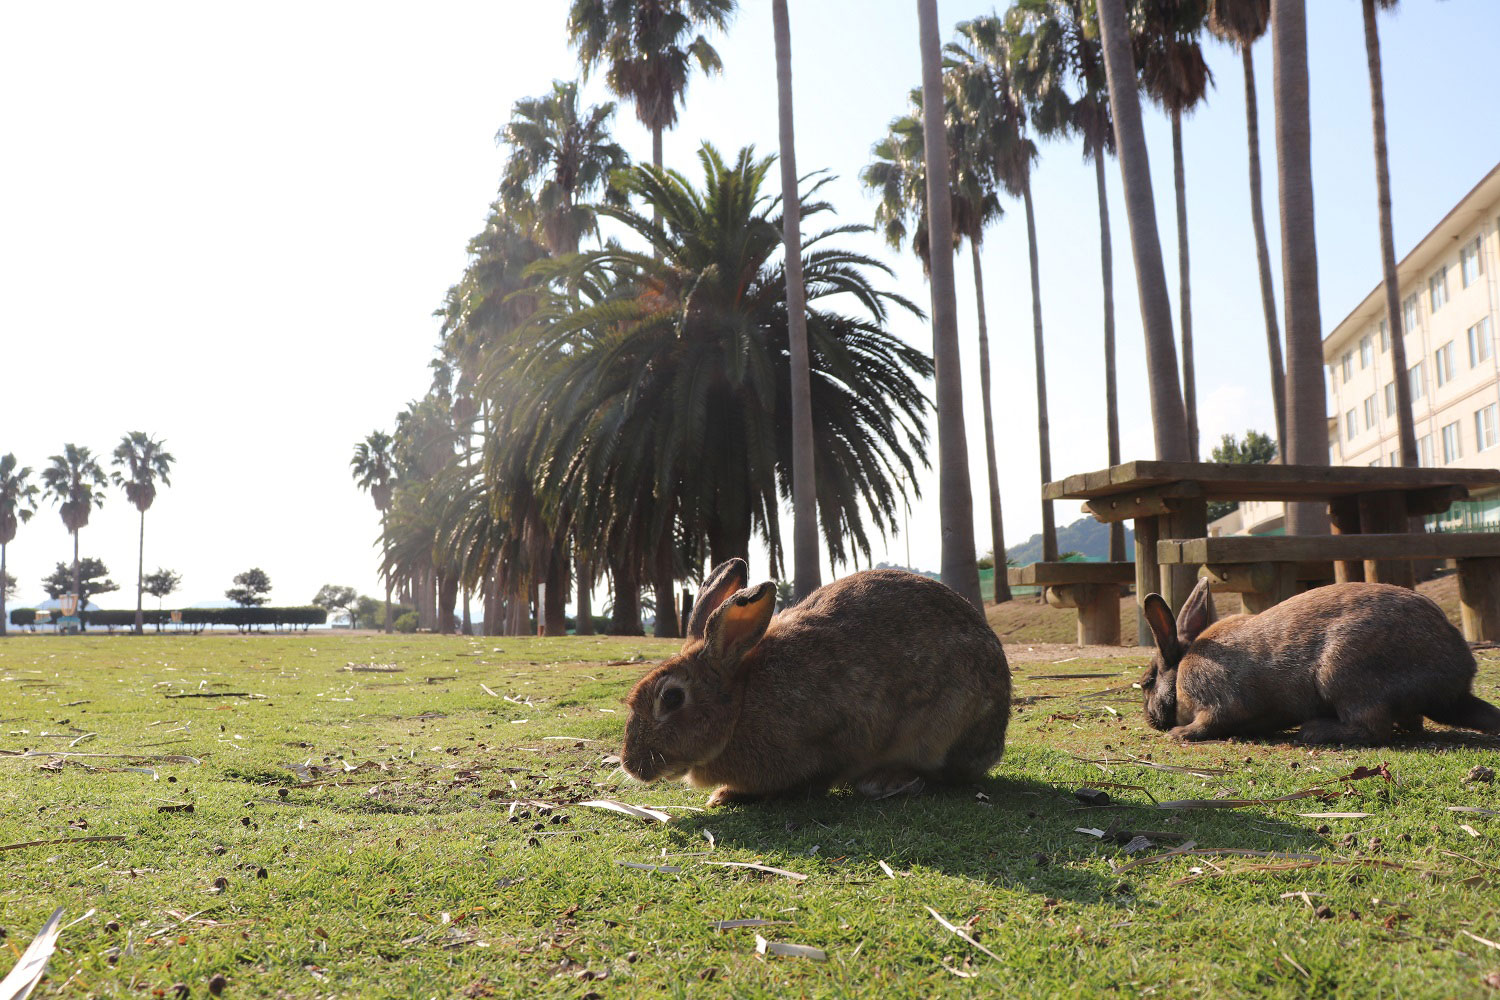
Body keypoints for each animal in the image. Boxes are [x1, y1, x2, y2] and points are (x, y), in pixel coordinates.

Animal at [615, 560, 1014, 809]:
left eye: (671, 698)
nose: (631, 765)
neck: (741, 704)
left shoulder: (837, 736)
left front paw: (728, 795)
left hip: (943, 727)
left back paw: (887, 781)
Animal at [1134, 575, 1500, 746]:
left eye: (1149, 681)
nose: (1150, 719)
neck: (1181, 670)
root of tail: (1457, 686)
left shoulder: (1219, 702)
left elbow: (1210, 721)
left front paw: (1180, 733)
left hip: (1340, 675)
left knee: (1374, 728)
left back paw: (1313, 731)